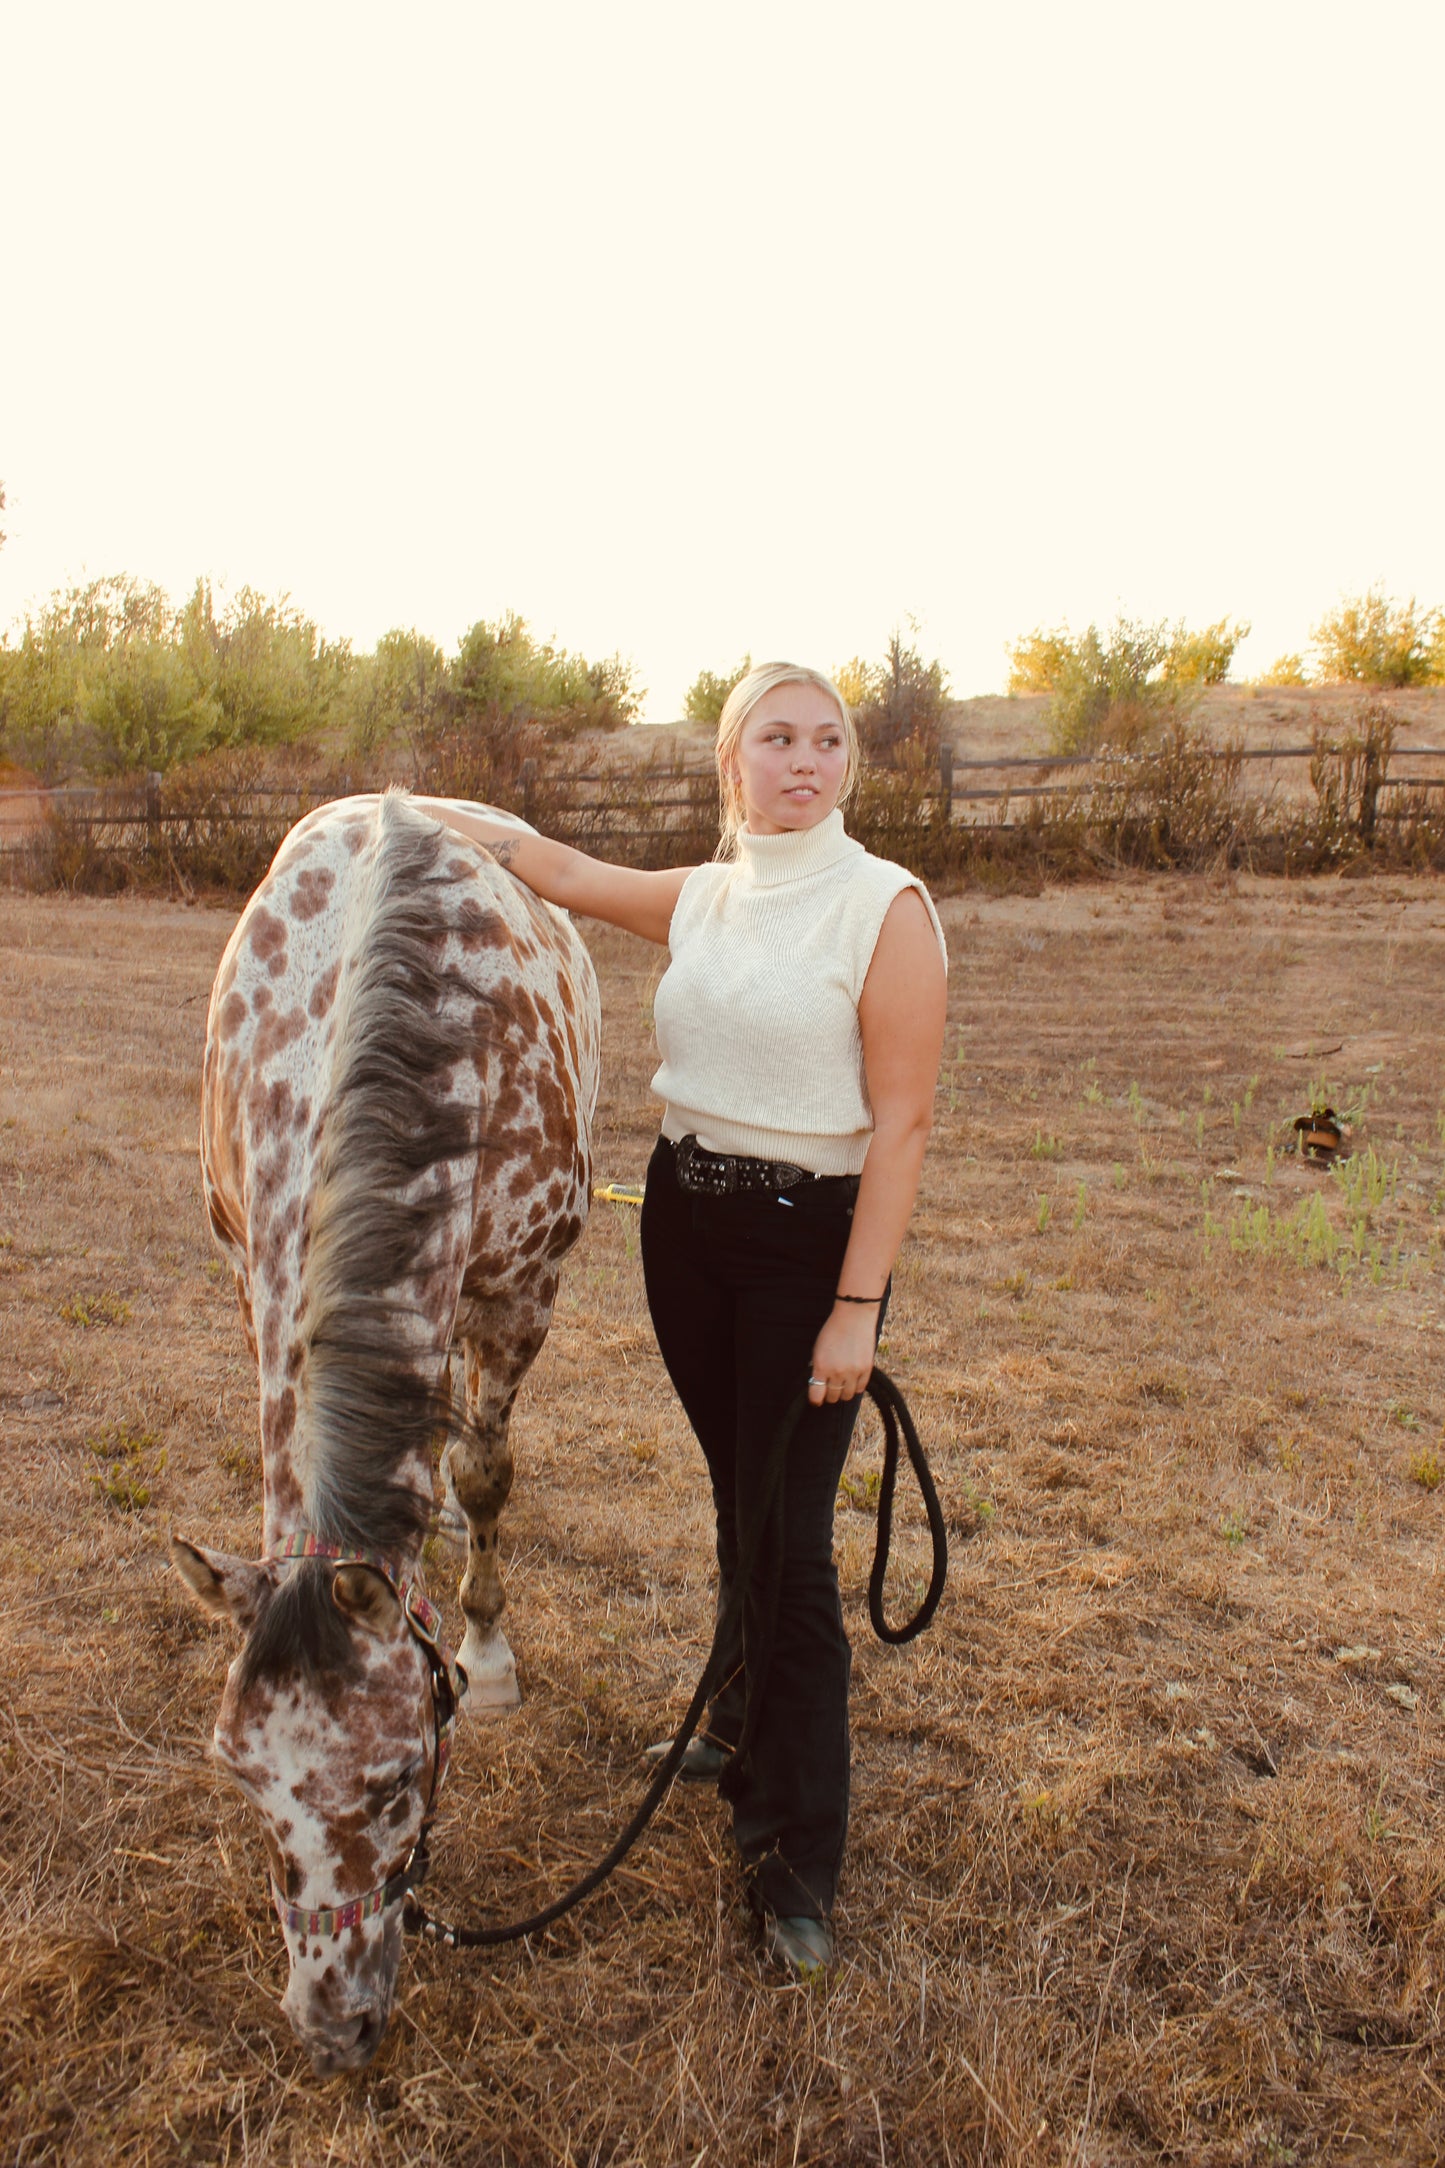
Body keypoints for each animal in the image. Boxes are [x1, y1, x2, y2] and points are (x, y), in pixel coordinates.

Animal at [171, 793, 597, 2063]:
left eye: (402, 1776)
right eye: (239, 1775)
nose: (334, 2027)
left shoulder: (520, 1293)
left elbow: (490, 1468)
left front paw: (488, 1658)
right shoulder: (251, 1272)